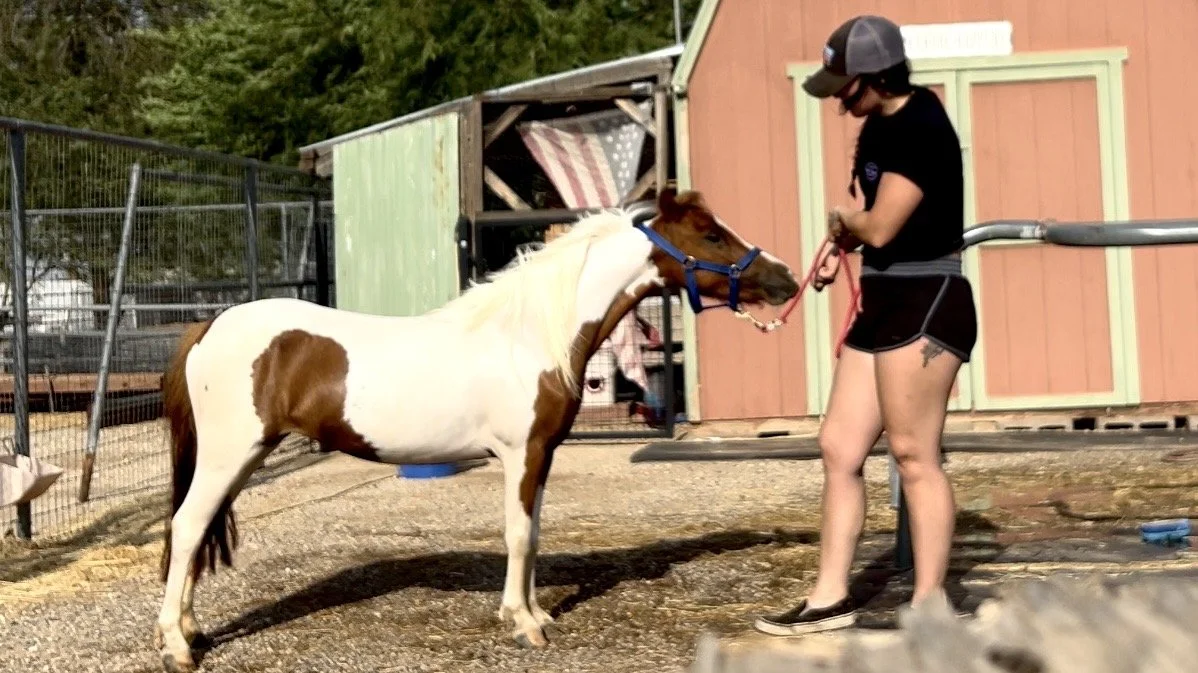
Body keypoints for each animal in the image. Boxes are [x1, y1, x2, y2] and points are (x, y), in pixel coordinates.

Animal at [152, 186, 800, 672]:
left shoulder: (543, 455)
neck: (528, 336)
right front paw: (524, 626)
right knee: (186, 527)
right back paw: (178, 646)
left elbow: (533, 533)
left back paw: (190, 628)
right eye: (711, 235)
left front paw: (533, 613)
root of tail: (210, 325)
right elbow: (517, 536)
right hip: (229, 455)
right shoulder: (521, 453)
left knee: (197, 530)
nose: (786, 280)